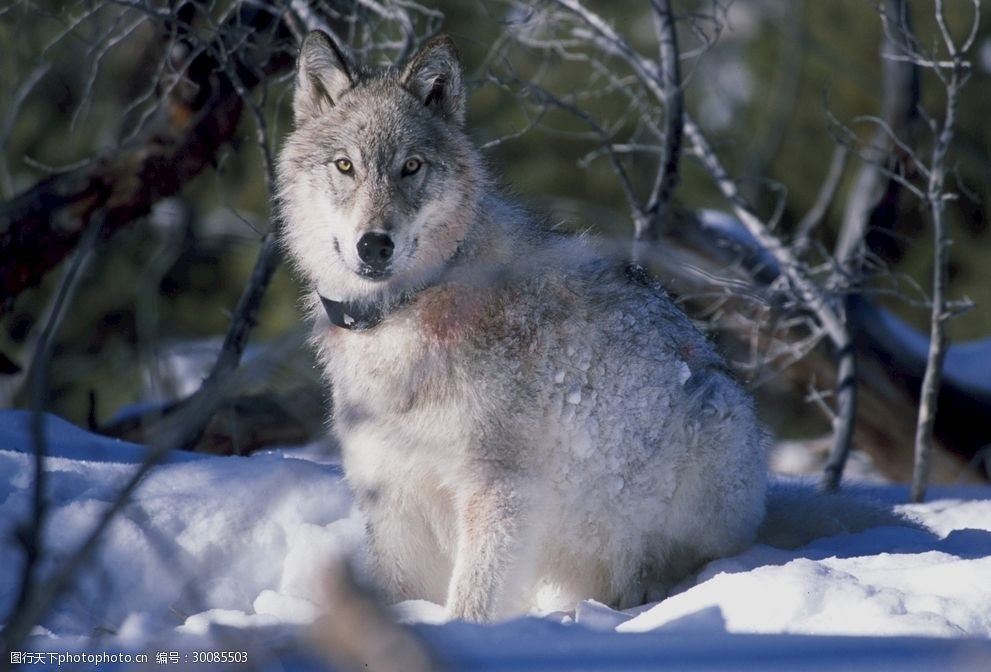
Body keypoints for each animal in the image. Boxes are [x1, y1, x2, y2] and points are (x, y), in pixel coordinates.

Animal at [276, 30, 772, 620]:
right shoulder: (392, 496)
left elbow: (472, 601)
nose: (375, 244)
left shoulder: (500, 491)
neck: (405, 312)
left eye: (411, 166)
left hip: (711, 421)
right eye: (345, 166)